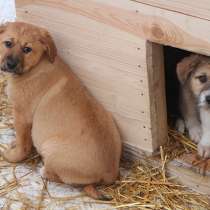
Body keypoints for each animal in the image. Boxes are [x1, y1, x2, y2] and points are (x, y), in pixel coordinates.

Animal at [0, 21, 121, 200]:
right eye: (8, 43)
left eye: (27, 49)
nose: (10, 65)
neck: (37, 65)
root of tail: (110, 173)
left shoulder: (22, 115)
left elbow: (23, 145)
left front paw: (11, 156)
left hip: (51, 147)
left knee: (59, 176)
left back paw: (43, 171)